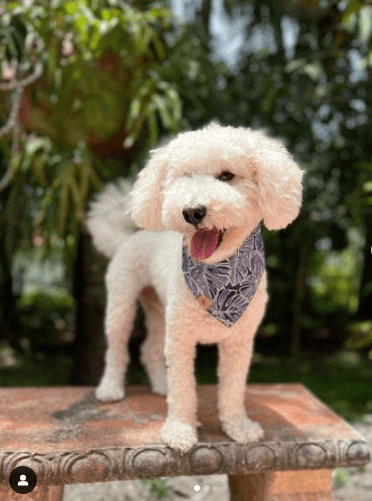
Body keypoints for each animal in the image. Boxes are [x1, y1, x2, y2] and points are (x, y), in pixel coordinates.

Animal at [85, 122, 304, 454]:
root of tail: (128, 238)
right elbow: (184, 388)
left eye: (227, 176)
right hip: (122, 302)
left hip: (160, 310)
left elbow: (232, 388)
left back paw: (161, 385)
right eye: (185, 176)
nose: (192, 211)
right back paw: (110, 388)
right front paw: (180, 430)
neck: (219, 276)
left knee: (149, 350)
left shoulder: (238, 341)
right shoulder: (182, 338)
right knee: (118, 348)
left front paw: (238, 427)